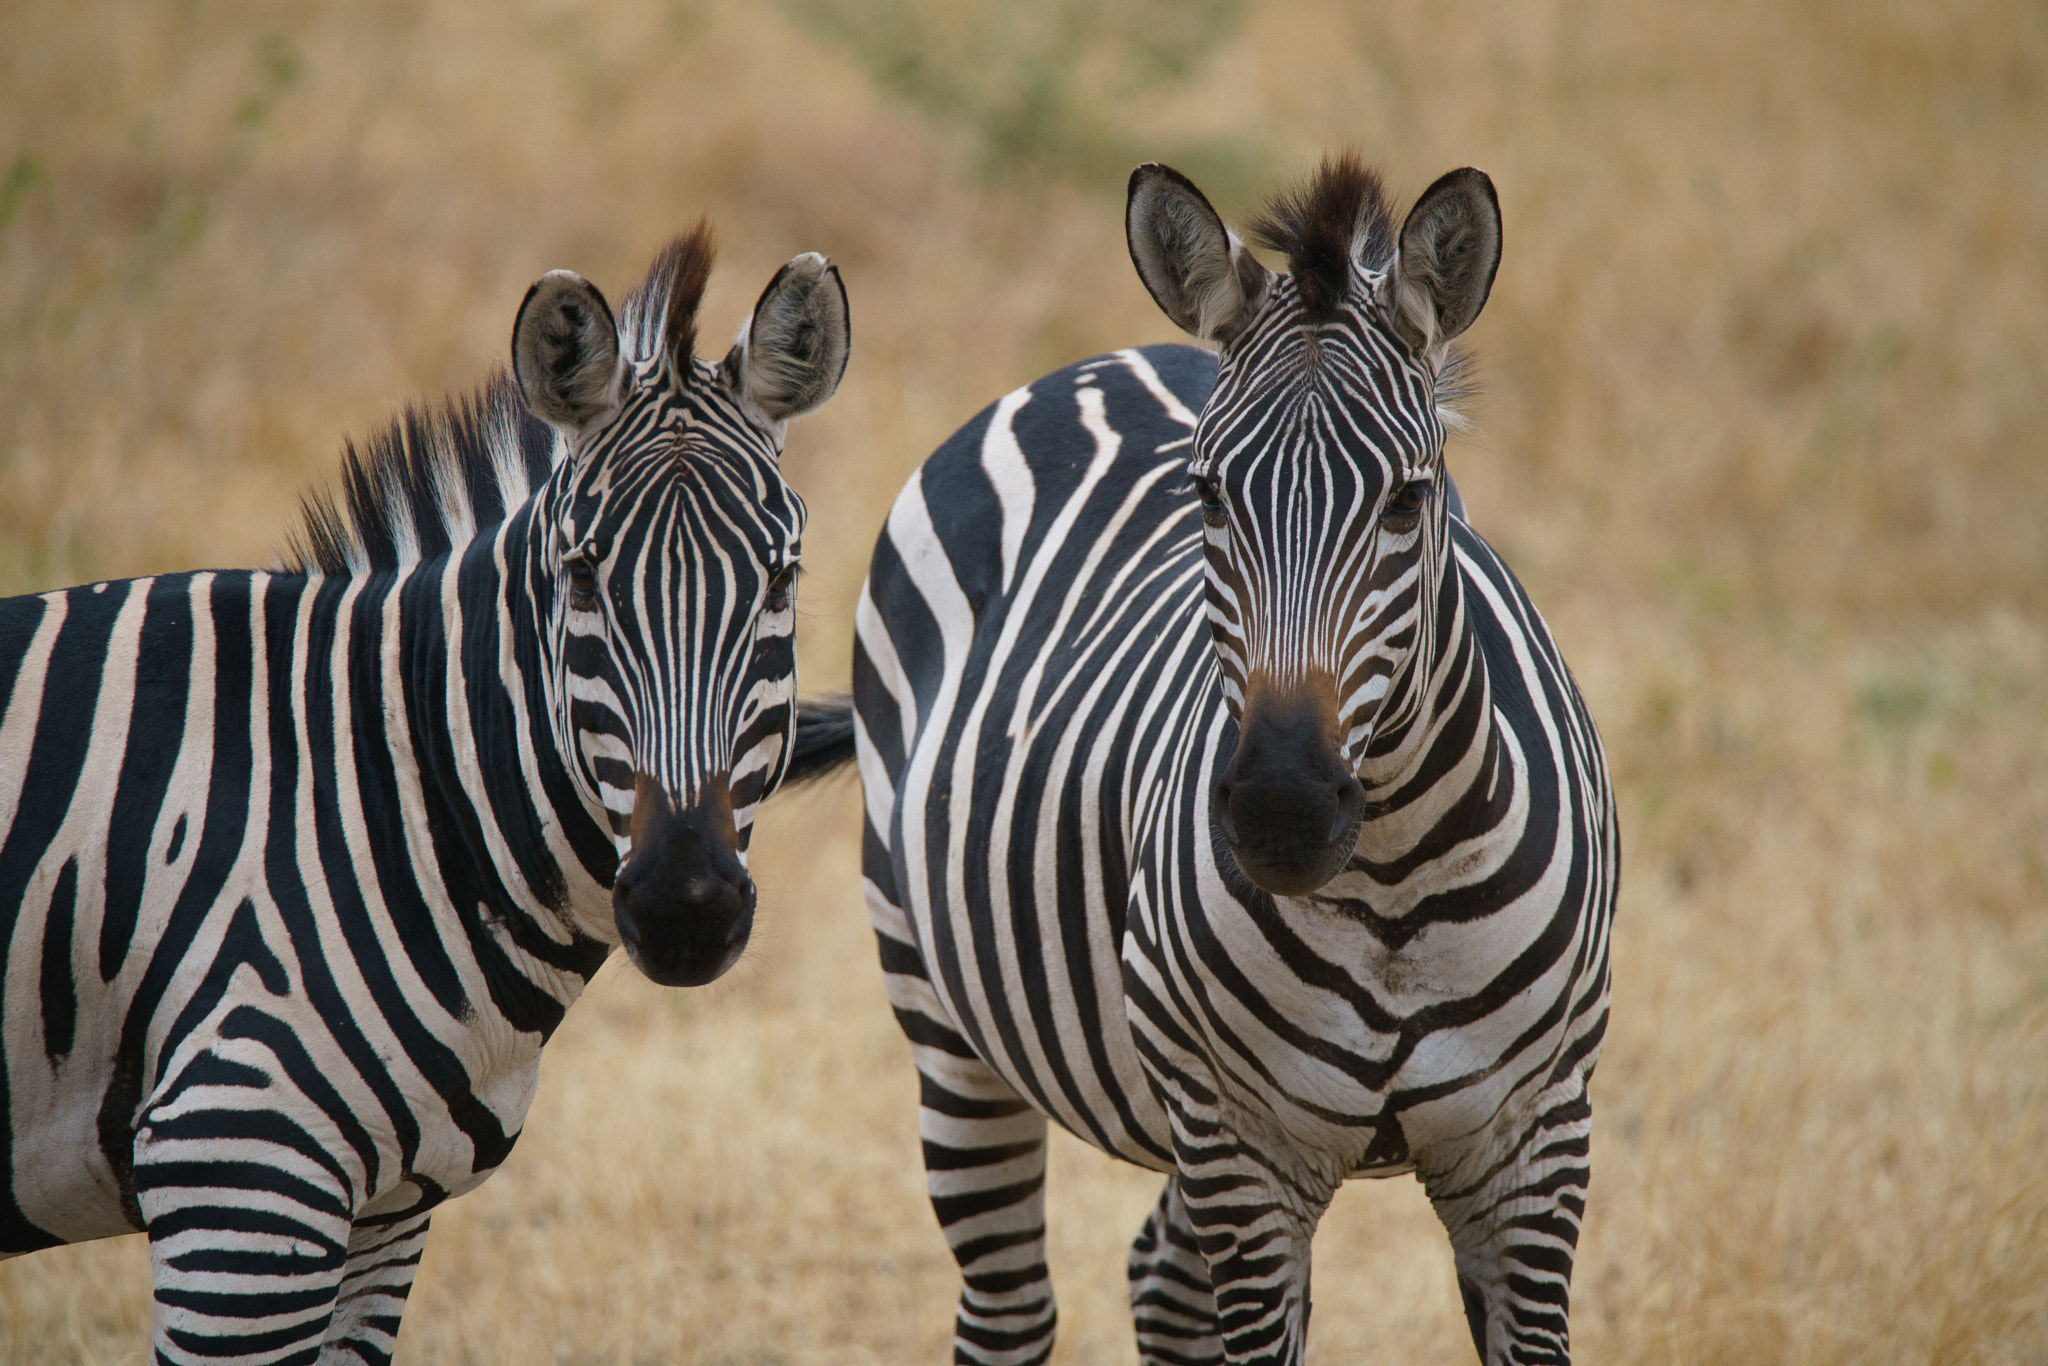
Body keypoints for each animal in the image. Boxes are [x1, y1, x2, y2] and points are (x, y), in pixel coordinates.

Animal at [0, 227, 847, 1366]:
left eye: (780, 580)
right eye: (581, 577)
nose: (686, 908)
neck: (385, 791)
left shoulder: (385, 1215)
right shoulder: (236, 1168)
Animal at [798, 154, 1613, 1359]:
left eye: (1409, 499)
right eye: (1208, 494)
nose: (1281, 810)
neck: (1395, 885)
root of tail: (1108, 359)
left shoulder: (1534, 1142)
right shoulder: (1244, 1149)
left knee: (1160, 1280)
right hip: (944, 1012)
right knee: (1008, 1305)